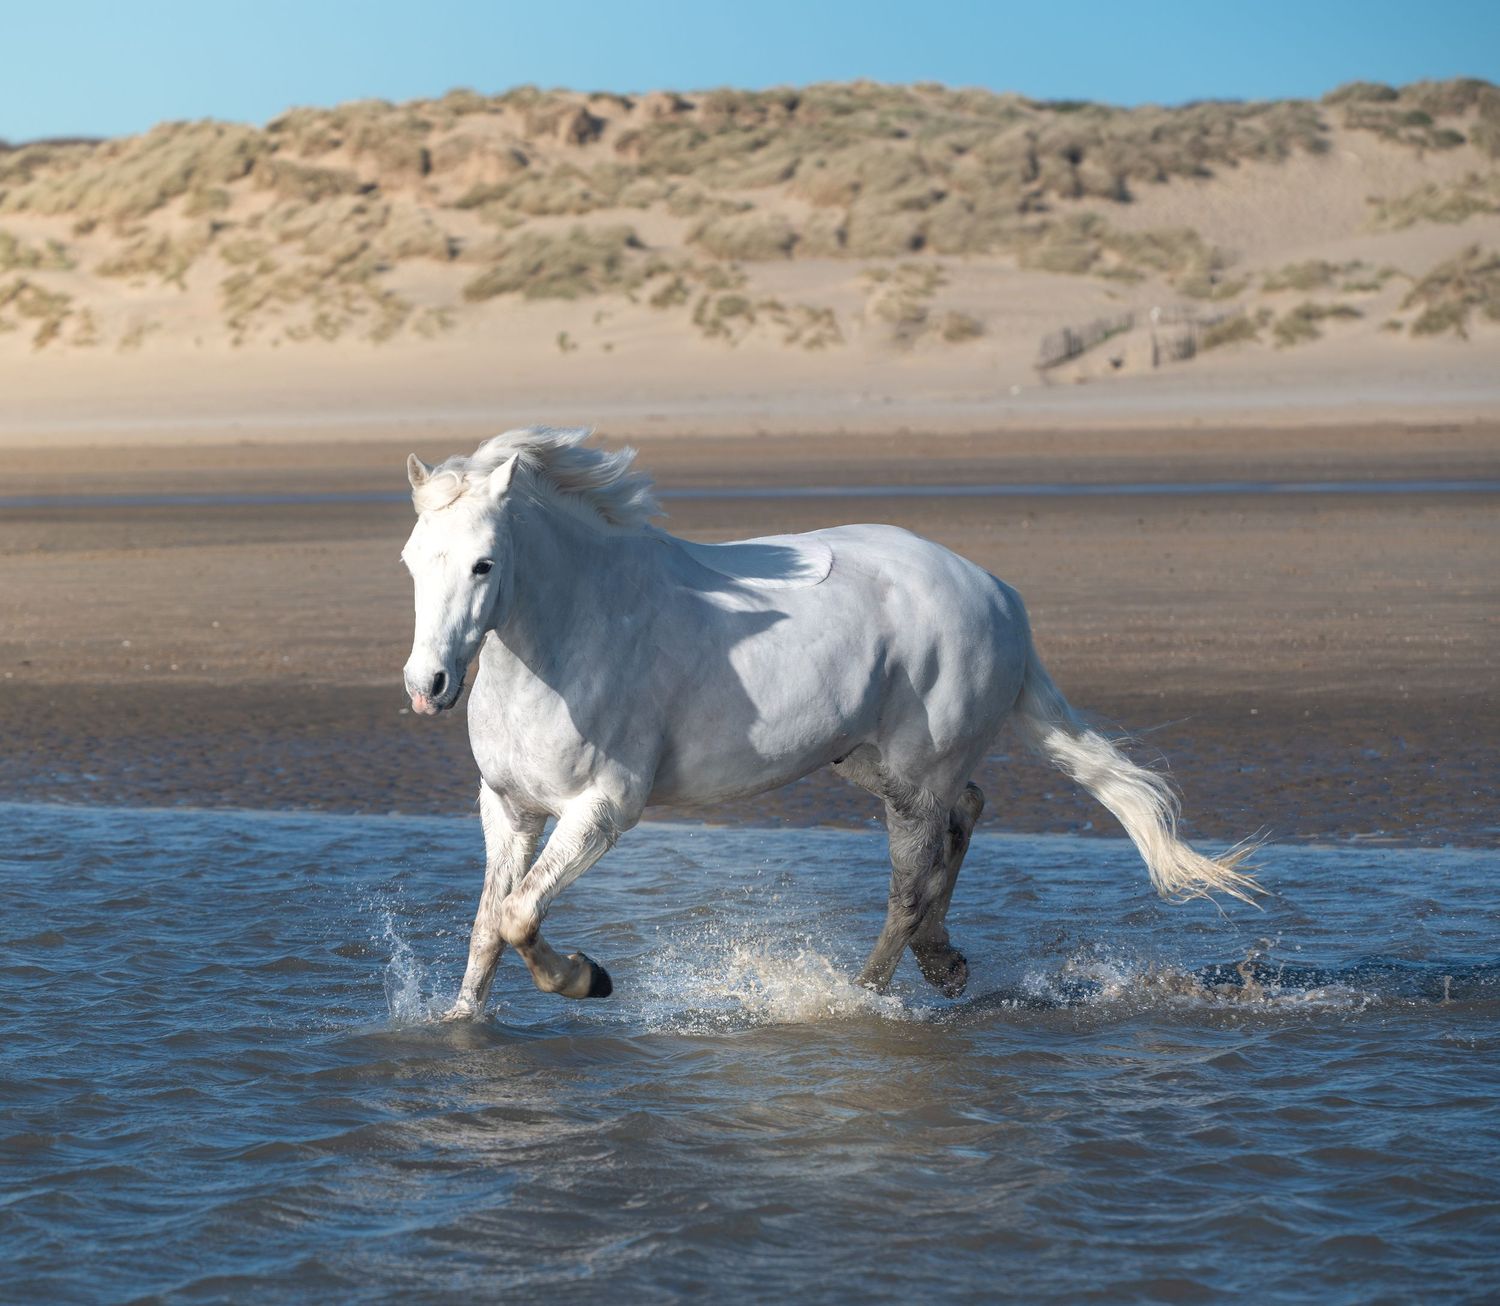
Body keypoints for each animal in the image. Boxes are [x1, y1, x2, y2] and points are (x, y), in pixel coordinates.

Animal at [399, 428, 1259, 1019]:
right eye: (411, 560)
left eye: (483, 563)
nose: (426, 686)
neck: (576, 629)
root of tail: (999, 593)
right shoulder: (509, 807)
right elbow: (488, 925)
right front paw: (459, 1025)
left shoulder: (602, 809)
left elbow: (519, 916)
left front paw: (589, 978)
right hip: (871, 762)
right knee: (966, 813)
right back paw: (942, 963)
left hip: (913, 774)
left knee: (912, 880)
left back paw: (864, 992)